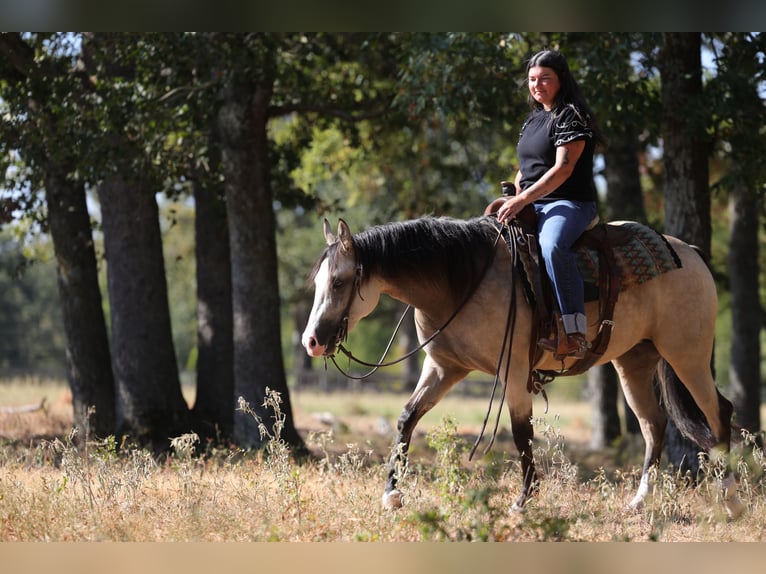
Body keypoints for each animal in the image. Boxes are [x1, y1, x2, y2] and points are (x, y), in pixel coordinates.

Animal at [301, 214, 744, 518]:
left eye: (339, 282)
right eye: (317, 282)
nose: (311, 341)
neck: (460, 280)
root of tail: (690, 254)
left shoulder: (512, 371)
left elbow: (521, 433)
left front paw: (523, 500)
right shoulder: (443, 368)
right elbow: (407, 417)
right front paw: (392, 492)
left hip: (687, 355)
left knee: (719, 413)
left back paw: (730, 500)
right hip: (634, 361)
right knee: (654, 425)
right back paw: (639, 501)